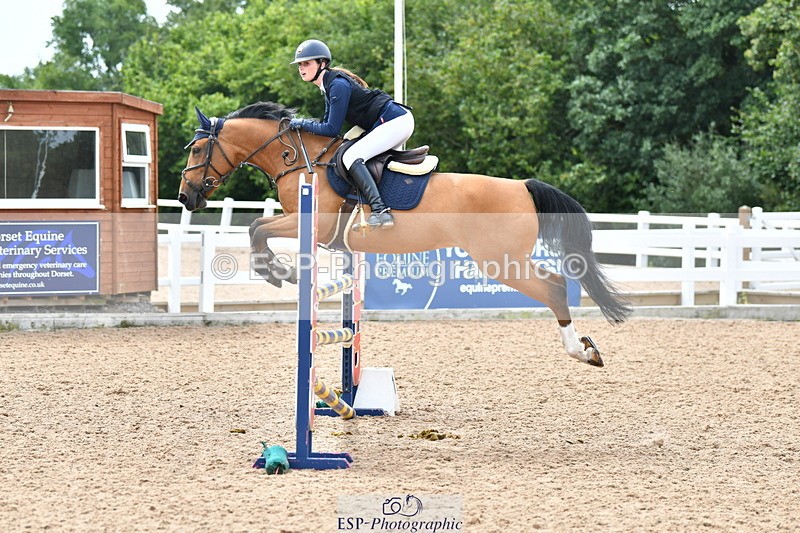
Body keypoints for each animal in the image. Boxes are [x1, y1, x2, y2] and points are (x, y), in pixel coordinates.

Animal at [178, 102, 631, 367]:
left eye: (197, 150)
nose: (186, 197)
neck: (298, 158)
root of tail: (522, 186)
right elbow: (257, 228)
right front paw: (278, 271)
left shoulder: (313, 222)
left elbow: (256, 228)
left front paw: (277, 273)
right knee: (556, 283)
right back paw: (586, 349)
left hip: (500, 261)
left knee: (554, 287)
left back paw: (580, 351)